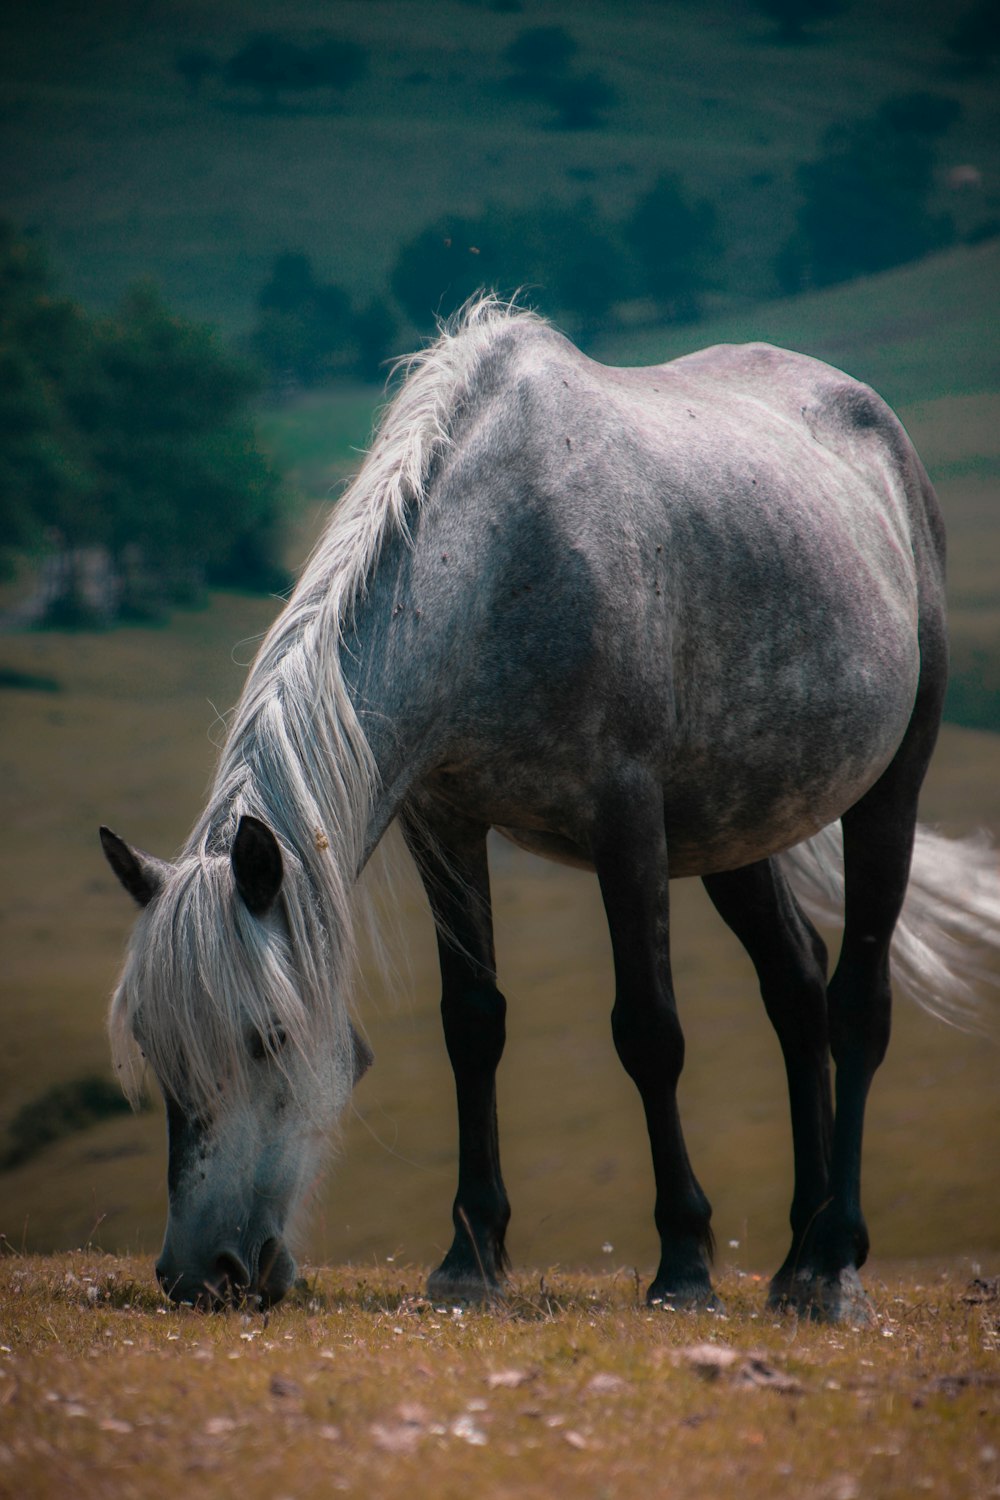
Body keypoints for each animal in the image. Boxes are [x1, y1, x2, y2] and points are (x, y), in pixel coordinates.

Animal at [103, 295, 1000, 1326]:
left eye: (271, 1038)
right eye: (156, 1048)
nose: (197, 1274)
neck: (503, 562)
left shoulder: (627, 821)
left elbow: (649, 1031)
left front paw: (683, 1262)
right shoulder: (444, 825)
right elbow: (472, 1024)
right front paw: (471, 1256)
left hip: (890, 789)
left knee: (856, 1004)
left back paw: (834, 1262)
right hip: (734, 830)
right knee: (797, 987)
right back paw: (796, 1255)